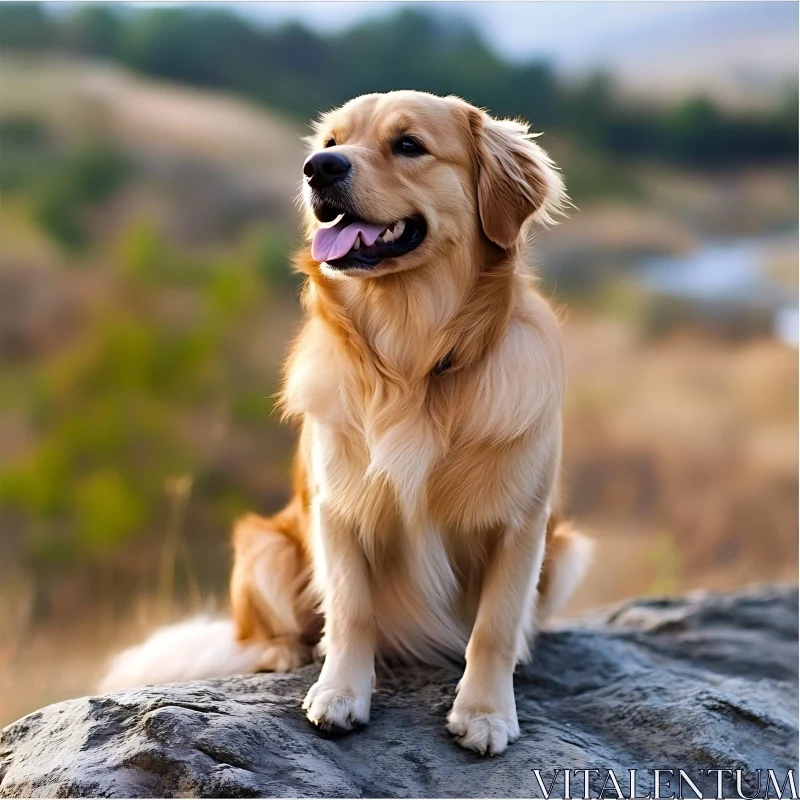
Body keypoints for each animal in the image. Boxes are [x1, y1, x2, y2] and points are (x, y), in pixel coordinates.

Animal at [100, 94, 592, 756]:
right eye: (331, 141)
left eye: (408, 145)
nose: (318, 169)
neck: (413, 362)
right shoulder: (338, 509)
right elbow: (352, 611)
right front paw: (339, 695)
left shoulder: (523, 523)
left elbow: (493, 625)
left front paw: (485, 711)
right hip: (264, 546)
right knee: (264, 631)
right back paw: (286, 653)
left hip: (566, 551)